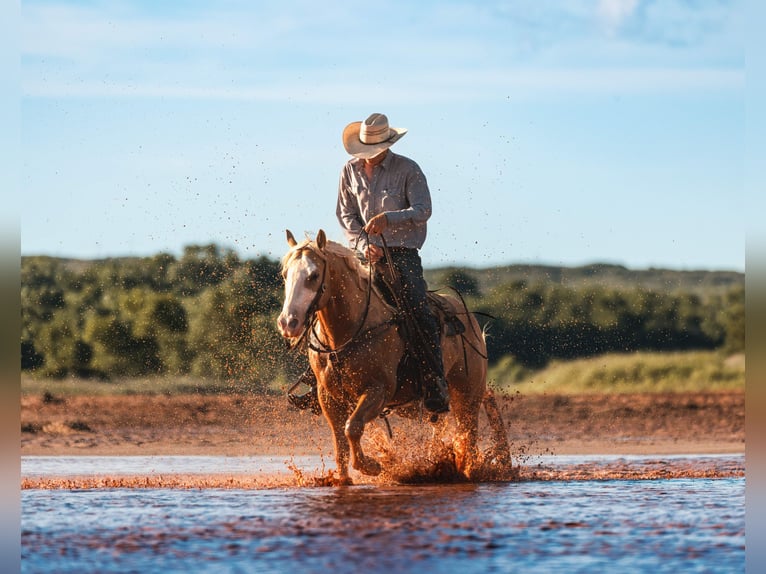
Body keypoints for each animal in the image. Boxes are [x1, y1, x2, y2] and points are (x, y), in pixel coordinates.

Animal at [277, 229, 511, 484]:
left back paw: (478, 466)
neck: (351, 332)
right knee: (445, 426)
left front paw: (371, 466)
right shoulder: (328, 396)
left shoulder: (379, 390)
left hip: (467, 392)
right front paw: (343, 480)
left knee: (470, 430)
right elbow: (340, 441)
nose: (288, 322)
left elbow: (353, 427)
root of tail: (470, 320)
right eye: (285, 274)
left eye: (314, 275)